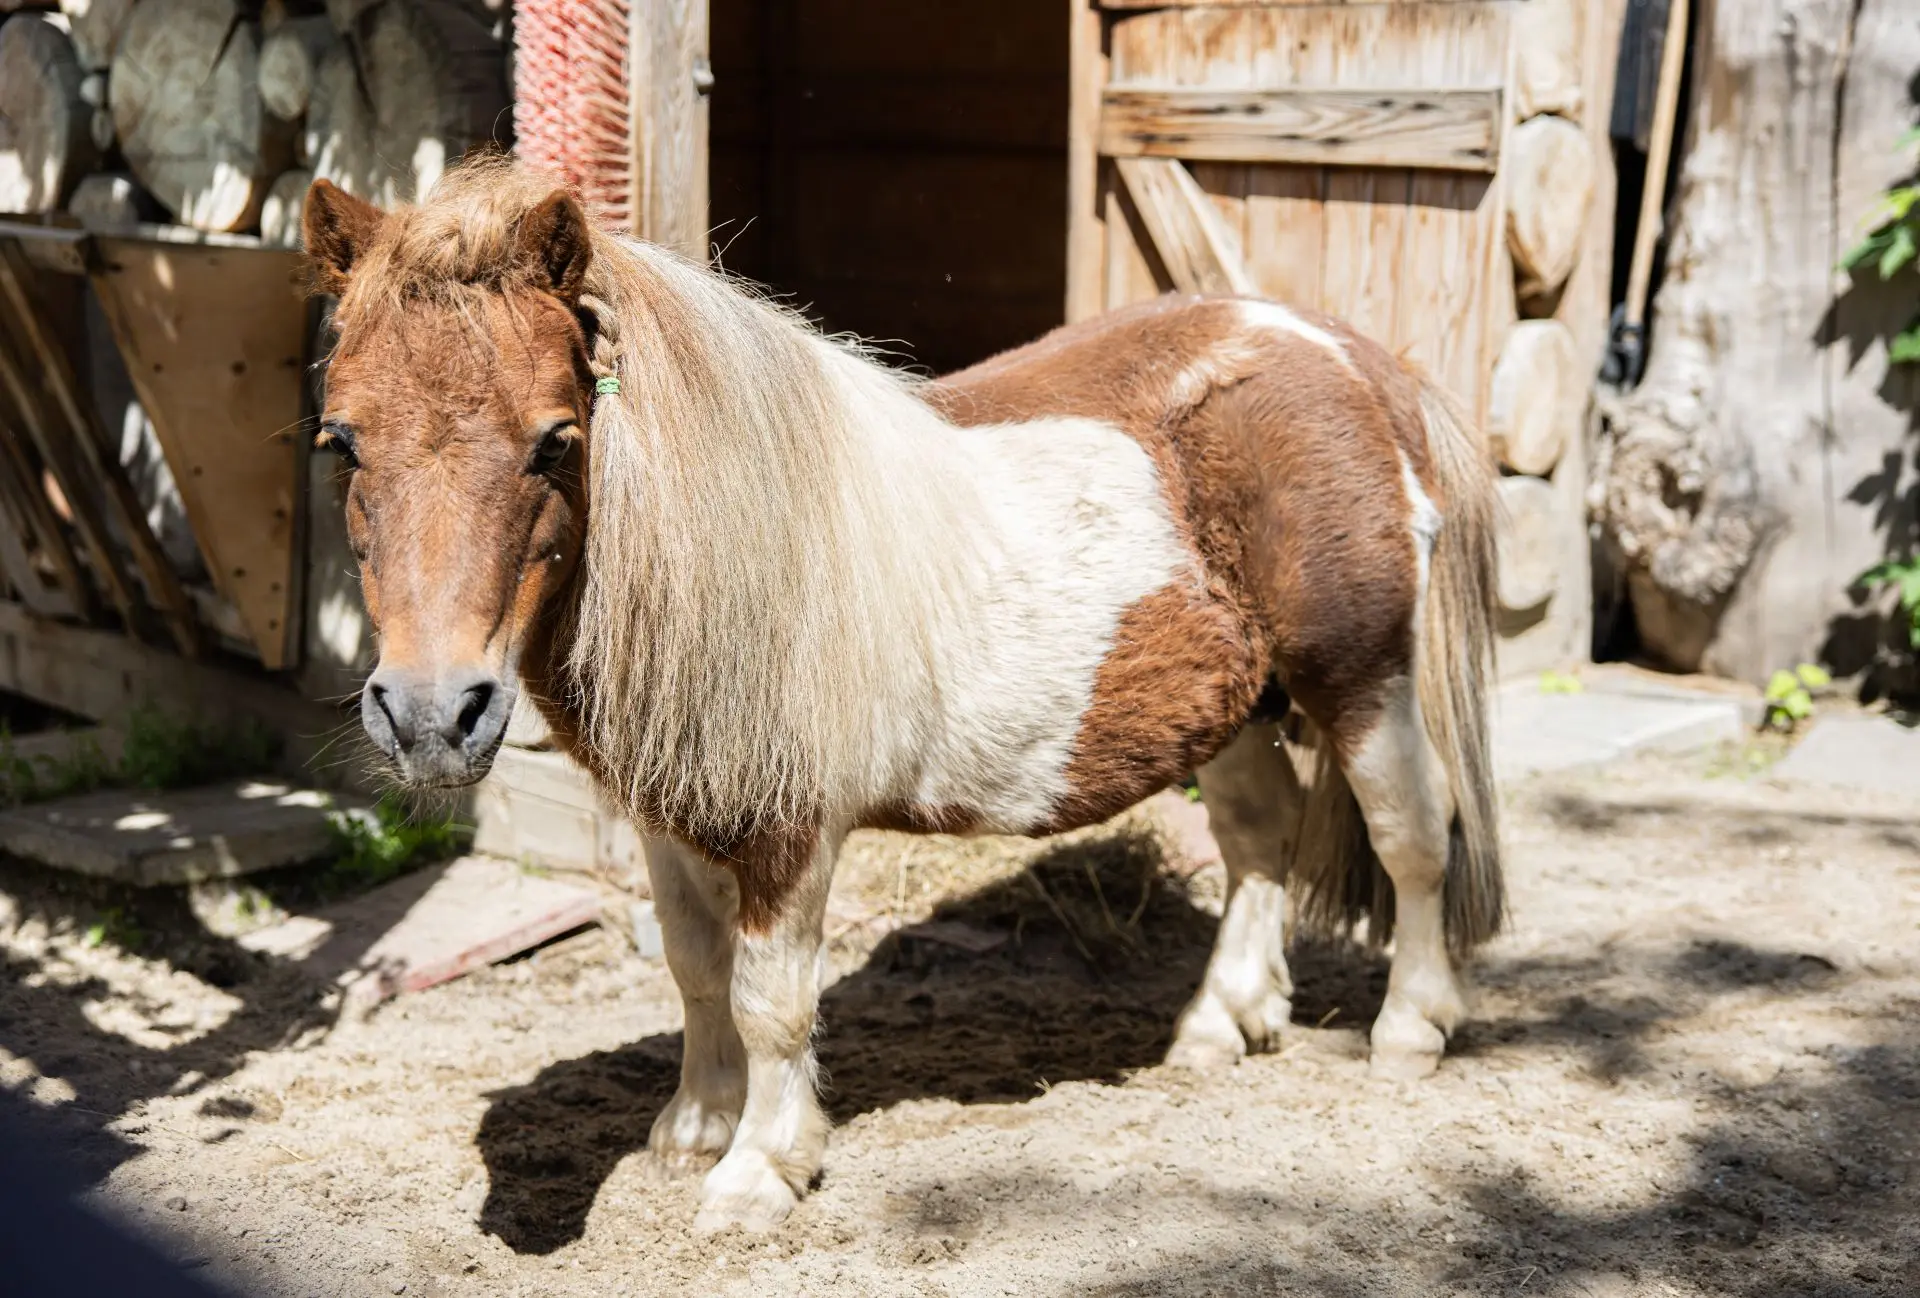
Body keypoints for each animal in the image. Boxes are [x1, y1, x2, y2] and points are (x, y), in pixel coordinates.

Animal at [301, 156, 1504, 1234]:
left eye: (556, 438)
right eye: (341, 439)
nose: (431, 716)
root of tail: (1347, 355)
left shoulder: (787, 830)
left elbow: (770, 998)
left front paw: (759, 1172)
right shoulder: (670, 816)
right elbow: (696, 969)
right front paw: (694, 1126)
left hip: (1362, 677)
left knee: (1412, 835)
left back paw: (1409, 1030)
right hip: (1236, 710)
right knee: (1259, 840)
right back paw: (1220, 1025)